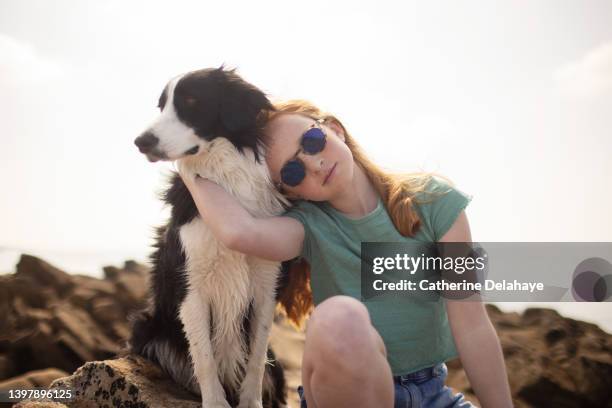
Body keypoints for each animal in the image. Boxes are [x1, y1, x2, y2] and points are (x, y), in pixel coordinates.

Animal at [128, 67, 290, 408]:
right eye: (161, 106)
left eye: (191, 101)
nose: (140, 142)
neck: (224, 181)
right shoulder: (190, 285)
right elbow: (204, 358)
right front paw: (216, 402)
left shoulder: (266, 283)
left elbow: (256, 359)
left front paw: (251, 402)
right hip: (148, 327)